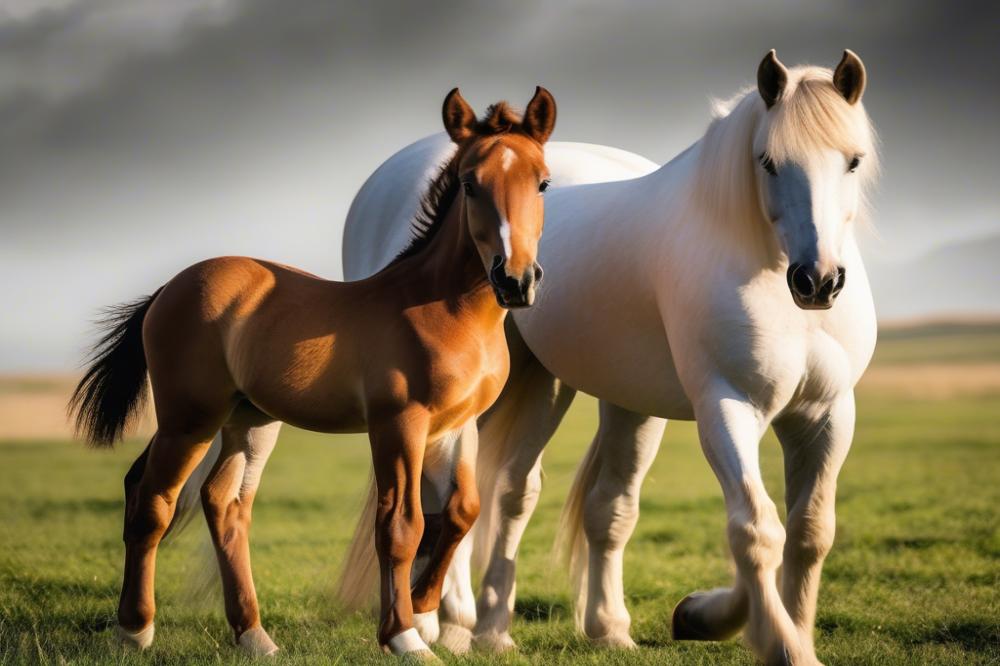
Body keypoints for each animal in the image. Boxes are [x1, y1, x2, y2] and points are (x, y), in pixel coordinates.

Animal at [68, 86, 557, 659]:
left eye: (542, 181)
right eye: (468, 183)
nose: (516, 280)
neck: (443, 309)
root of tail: (170, 287)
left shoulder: (457, 428)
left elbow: (461, 512)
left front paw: (423, 608)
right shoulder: (398, 423)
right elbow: (401, 523)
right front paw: (404, 635)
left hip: (248, 420)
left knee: (222, 503)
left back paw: (254, 636)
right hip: (189, 419)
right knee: (154, 500)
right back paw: (135, 629)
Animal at [340, 51, 878, 666]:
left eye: (853, 161)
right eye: (767, 161)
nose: (818, 280)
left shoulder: (824, 415)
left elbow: (807, 532)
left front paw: (657, 621)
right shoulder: (727, 407)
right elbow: (757, 529)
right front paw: (763, 636)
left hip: (545, 384)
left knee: (514, 491)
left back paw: (492, 629)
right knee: (440, 490)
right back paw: (441, 622)